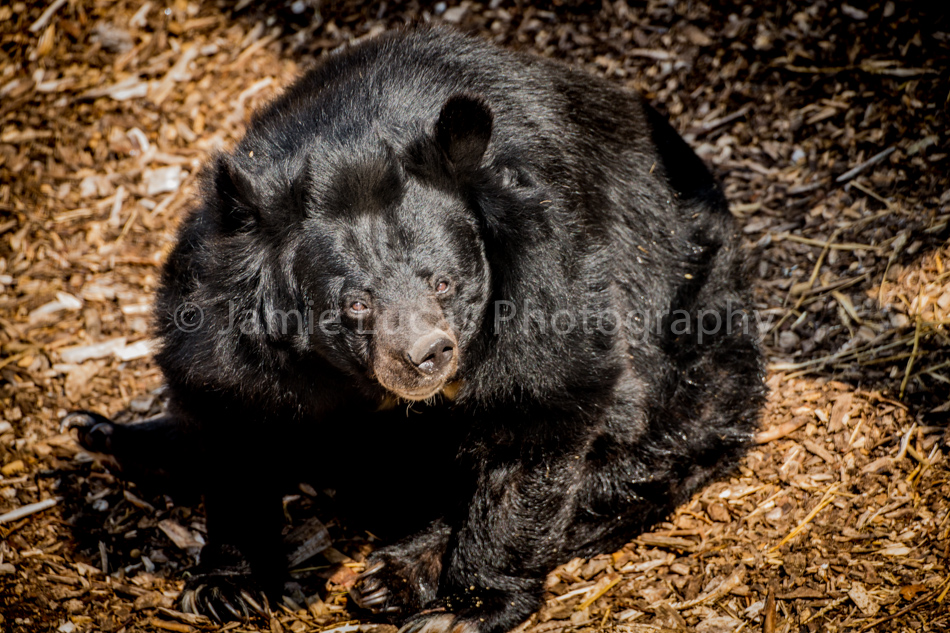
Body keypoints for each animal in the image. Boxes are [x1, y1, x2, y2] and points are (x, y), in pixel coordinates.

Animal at [64, 25, 765, 633]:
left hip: (697, 344)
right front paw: (226, 586)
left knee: (640, 456)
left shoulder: (549, 269)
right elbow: (232, 415)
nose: (426, 356)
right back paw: (106, 434)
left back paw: (396, 573)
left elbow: (541, 414)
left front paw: (464, 608)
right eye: (354, 304)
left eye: (444, 283)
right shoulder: (222, 312)